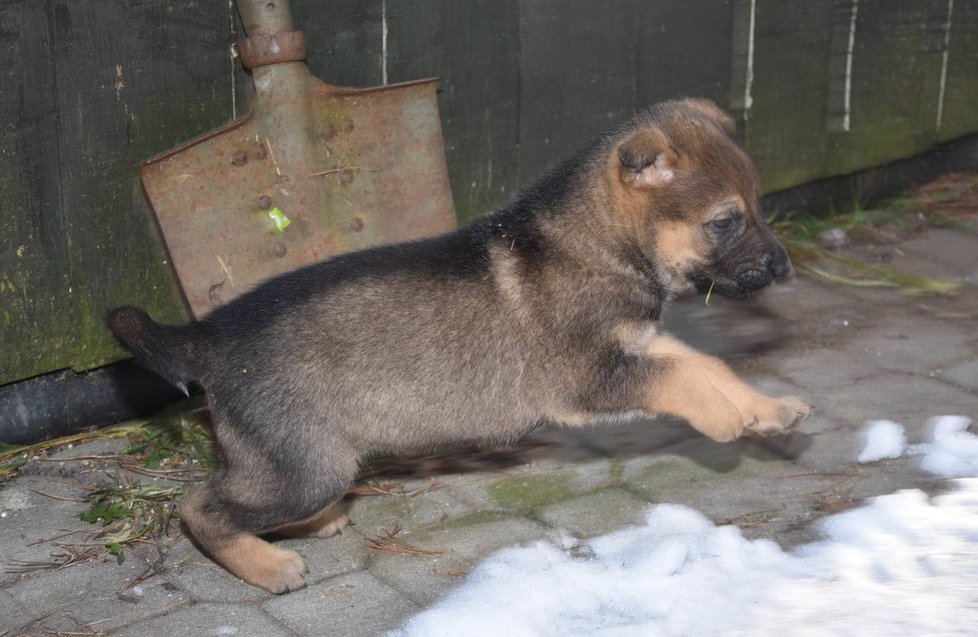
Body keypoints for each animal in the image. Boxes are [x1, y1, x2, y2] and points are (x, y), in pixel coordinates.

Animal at [108, 99, 808, 592]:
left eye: (758, 206)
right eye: (725, 221)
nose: (783, 268)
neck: (600, 241)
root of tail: (206, 338)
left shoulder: (640, 345)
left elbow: (706, 365)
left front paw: (766, 410)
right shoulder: (588, 380)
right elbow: (682, 379)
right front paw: (725, 420)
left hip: (304, 460)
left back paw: (313, 526)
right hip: (304, 466)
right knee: (201, 507)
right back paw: (269, 565)